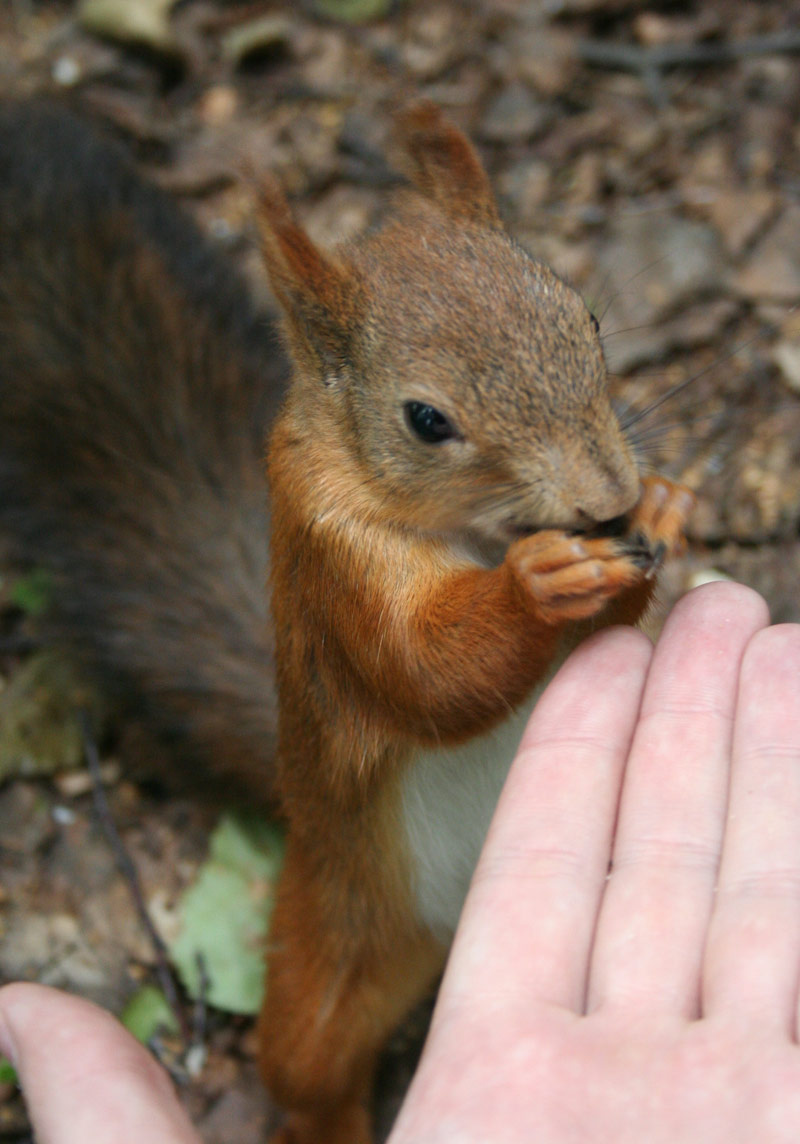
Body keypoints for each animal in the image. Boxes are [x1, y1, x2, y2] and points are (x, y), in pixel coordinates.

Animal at [0, 100, 694, 1144]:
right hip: (328, 942)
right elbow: (423, 673)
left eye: (587, 316)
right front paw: (536, 585)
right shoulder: (336, 570)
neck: (475, 534)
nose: (605, 495)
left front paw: (661, 506)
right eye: (426, 420)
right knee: (308, 1064)